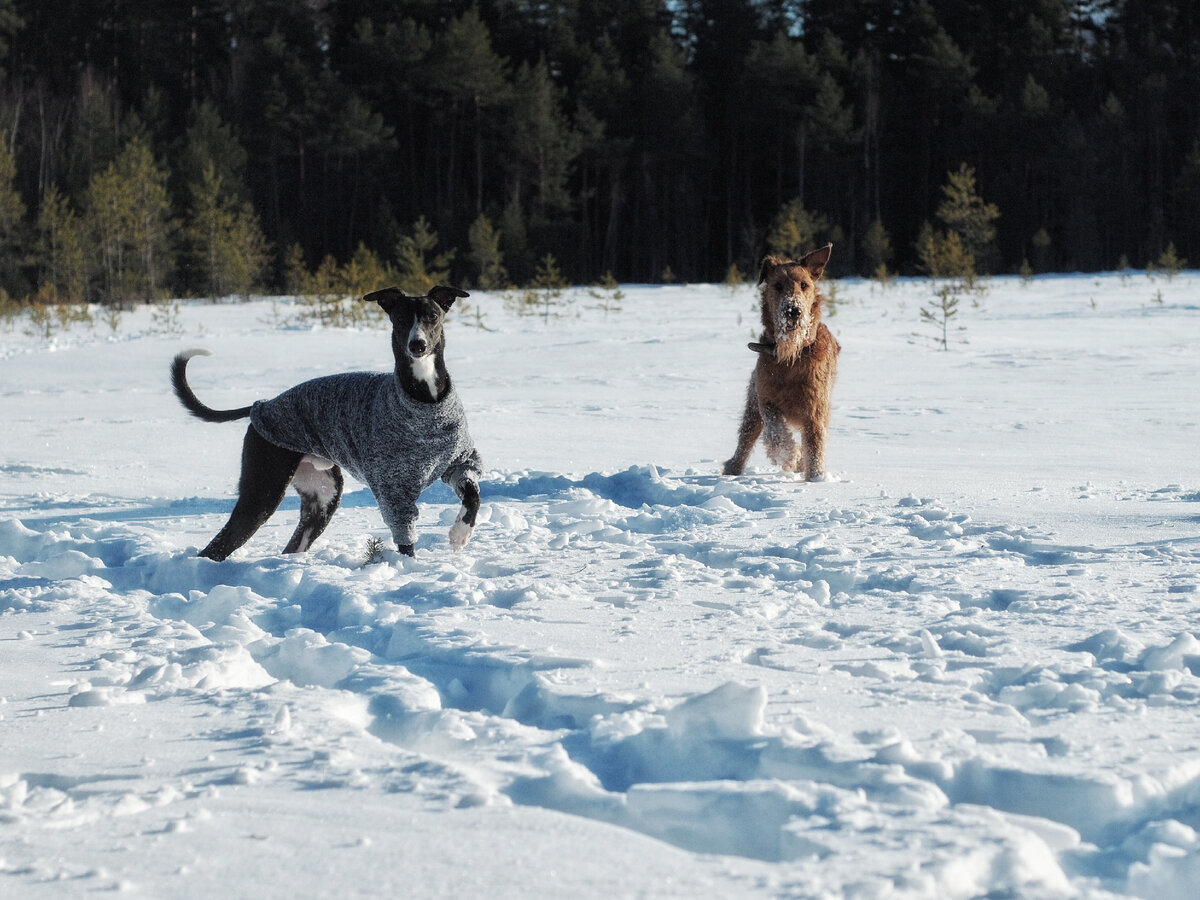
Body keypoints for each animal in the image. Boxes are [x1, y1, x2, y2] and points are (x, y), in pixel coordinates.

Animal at [174, 285, 482, 561]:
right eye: (401, 318)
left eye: (433, 316)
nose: (417, 345)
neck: (425, 398)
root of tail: (260, 406)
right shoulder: (394, 491)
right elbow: (406, 542)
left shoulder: (459, 462)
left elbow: (472, 493)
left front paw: (460, 533)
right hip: (263, 491)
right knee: (216, 548)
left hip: (323, 498)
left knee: (292, 544)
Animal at [724, 240, 840, 480]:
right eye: (777, 286)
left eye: (804, 285)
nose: (793, 310)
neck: (792, 357)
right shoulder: (766, 400)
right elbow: (775, 431)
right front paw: (789, 456)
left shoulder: (814, 409)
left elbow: (814, 446)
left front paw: (816, 479)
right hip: (752, 409)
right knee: (745, 441)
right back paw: (732, 470)